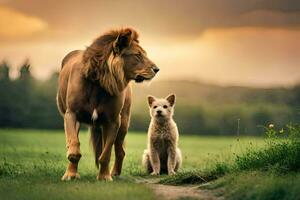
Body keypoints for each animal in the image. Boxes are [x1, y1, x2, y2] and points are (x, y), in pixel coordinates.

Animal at [56, 27, 159, 180]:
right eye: (137, 55)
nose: (157, 69)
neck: (99, 85)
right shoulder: (71, 114)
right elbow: (74, 147)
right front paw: (70, 175)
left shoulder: (113, 120)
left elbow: (106, 153)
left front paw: (104, 177)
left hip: (123, 122)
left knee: (120, 151)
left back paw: (115, 173)